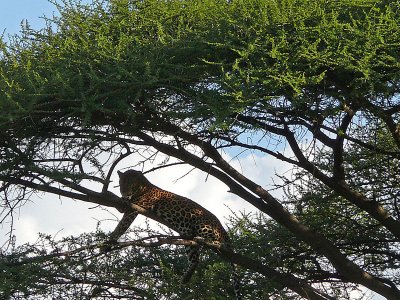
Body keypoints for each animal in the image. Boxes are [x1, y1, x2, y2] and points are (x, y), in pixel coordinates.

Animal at [103, 170, 241, 298]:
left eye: (130, 183)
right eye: (121, 183)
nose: (123, 192)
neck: (143, 187)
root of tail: (221, 227)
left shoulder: (134, 208)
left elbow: (121, 227)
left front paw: (107, 243)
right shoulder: (126, 206)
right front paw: (109, 193)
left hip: (202, 224)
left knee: (218, 242)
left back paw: (204, 240)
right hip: (187, 238)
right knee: (196, 259)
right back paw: (185, 279)